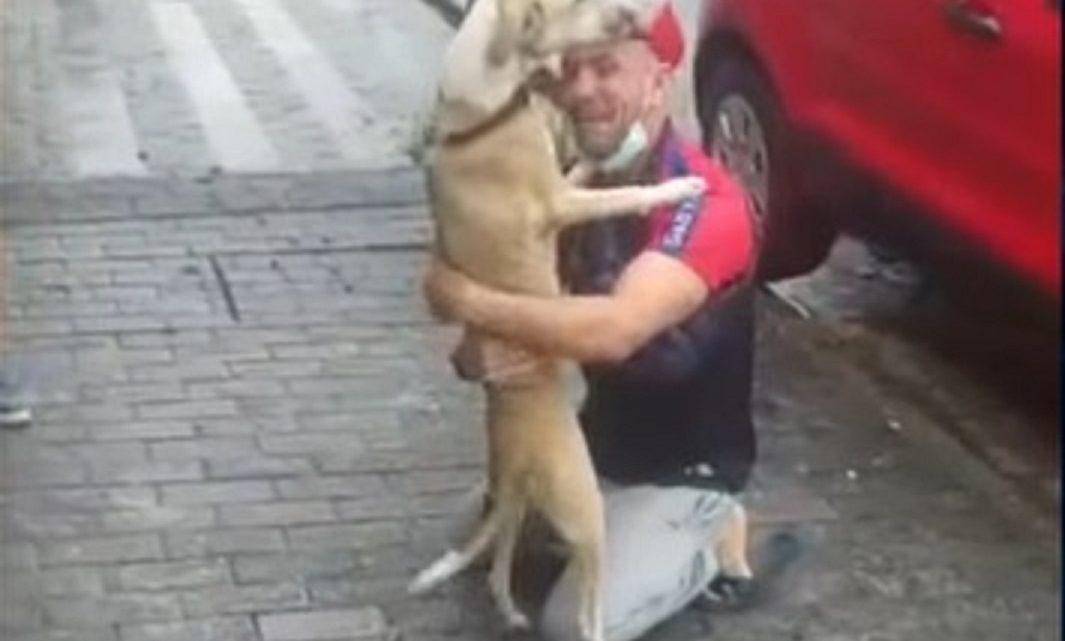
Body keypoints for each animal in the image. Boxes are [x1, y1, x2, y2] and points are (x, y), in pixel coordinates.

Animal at [406, 2, 707, 634]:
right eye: (571, 8)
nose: (640, 18)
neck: (483, 109)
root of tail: (515, 462)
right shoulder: (557, 203)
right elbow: (624, 194)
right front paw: (677, 183)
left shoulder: (563, 183)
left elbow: (590, 162)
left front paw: (622, 145)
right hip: (584, 506)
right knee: (586, 605)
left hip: (518, 506)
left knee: (498, 568)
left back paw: (509, 611)